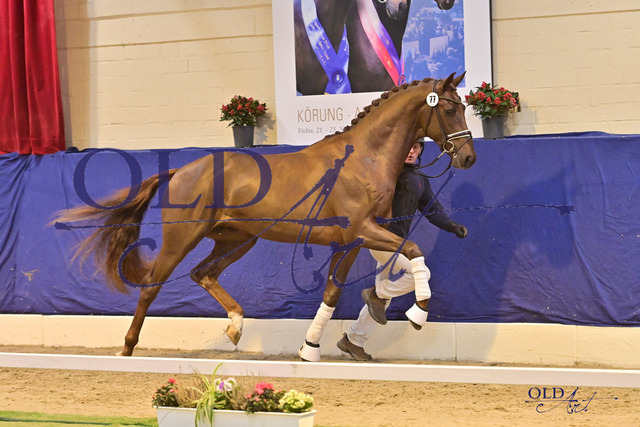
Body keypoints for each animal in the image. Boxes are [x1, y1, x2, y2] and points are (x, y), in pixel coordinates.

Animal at [54, 72, 475, 359]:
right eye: (449, 108)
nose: (469, 157)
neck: (363, 159)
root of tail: (182, 170)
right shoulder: (362, 230)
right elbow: (416, 253)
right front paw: (419, 313)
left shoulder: (353, 240)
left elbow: (340, 290)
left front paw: (310, 348)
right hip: (182, 239)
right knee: (152, 288)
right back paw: (126, 352)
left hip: (237, 239)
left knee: (203, 274)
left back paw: (236, 327)